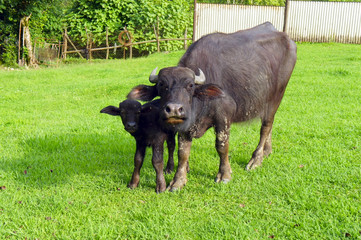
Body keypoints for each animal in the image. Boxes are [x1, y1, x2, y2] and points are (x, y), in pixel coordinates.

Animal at [126, 22, 296, 191]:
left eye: (190, 85)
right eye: (162, 85)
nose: (174, 109)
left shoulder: (223, 117)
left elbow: (221, 146)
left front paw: (225, 174)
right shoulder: (185, 126)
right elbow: (183, 152)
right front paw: (178, 180)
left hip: (275, 98)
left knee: (265, 127)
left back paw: (256, 159)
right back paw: (267, 151)